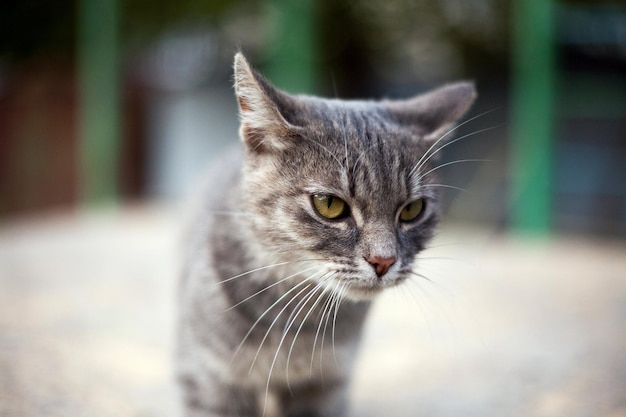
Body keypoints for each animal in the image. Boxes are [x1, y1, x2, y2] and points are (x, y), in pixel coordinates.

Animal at [178, 53, 476, 414]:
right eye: (329, 204)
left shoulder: (326, 385)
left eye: (412, 210)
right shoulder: (210, 382)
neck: (298, 321)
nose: (384, 260)